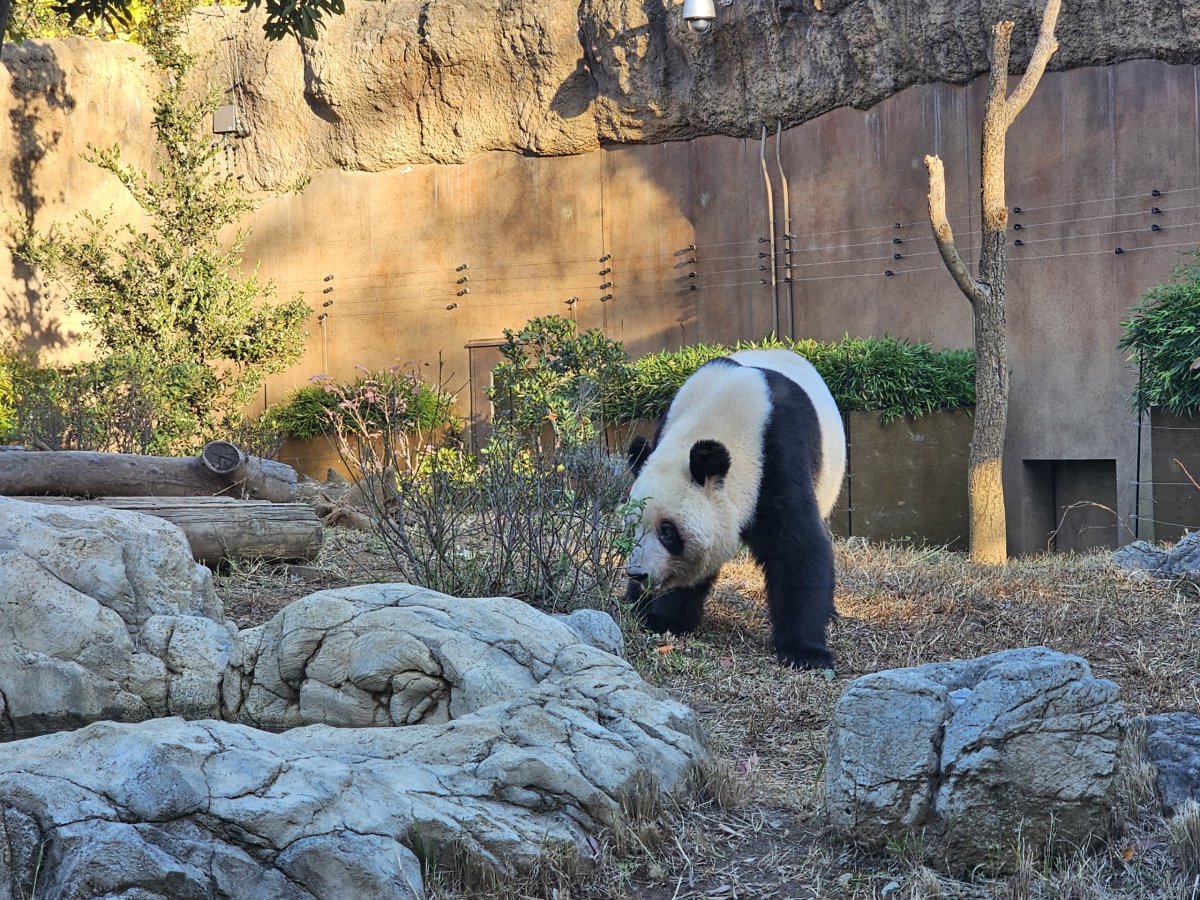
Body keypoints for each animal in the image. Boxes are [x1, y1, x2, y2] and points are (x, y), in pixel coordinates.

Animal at [624, 347, 846, 670]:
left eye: (668, 531)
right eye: (631, 528)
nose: (638, 574)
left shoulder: (776, 457)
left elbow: (798, 548)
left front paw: (805, 653)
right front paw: (664, 618)